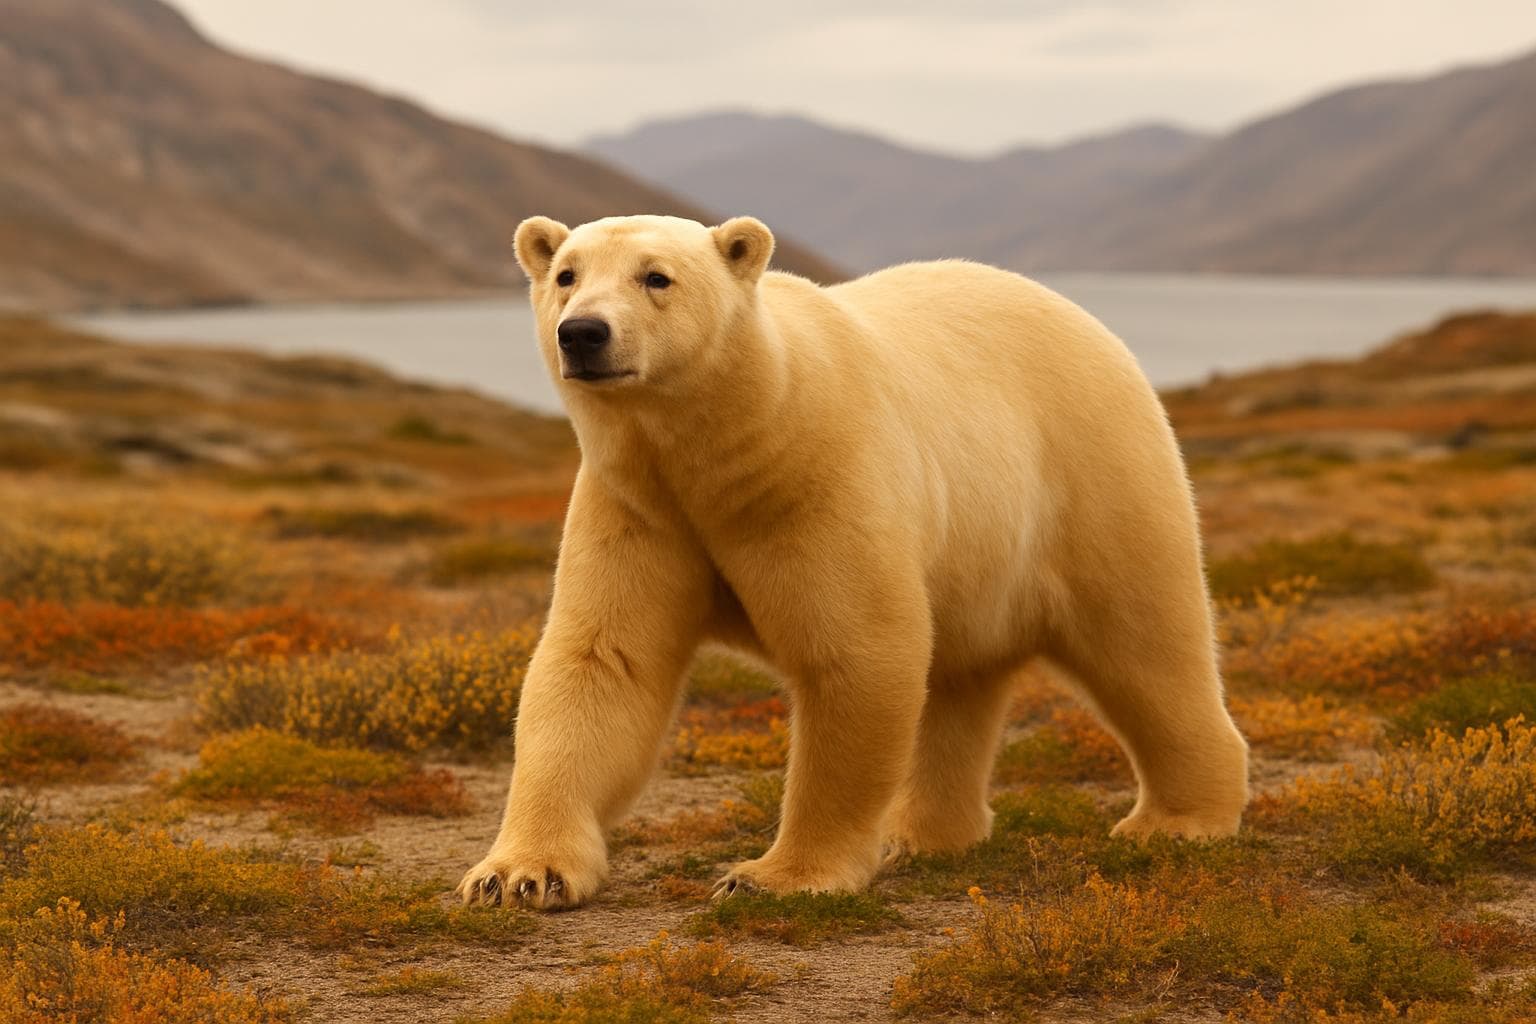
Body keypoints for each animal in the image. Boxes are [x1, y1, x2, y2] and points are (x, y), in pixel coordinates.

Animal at [457, 213, 1249, 910]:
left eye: (657, 277)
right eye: (566, 273)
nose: (584, 332)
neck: (728, 442)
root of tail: (1093, 325)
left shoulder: (818, 481)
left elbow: (855, 655)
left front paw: (773, 877)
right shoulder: (638, 507)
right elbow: (602, 663)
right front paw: (516, 875)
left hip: (1093, 477)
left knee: (1144, 643)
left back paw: (1176, 820)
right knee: (959, 681)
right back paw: (924, 835)